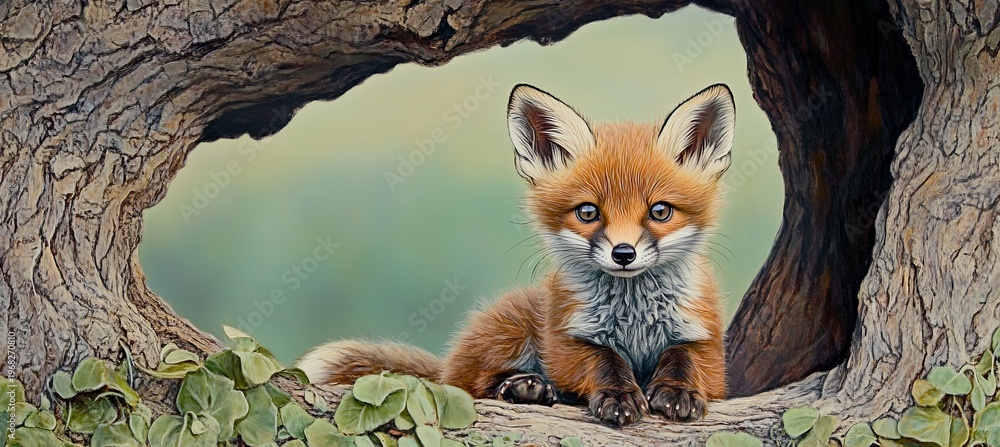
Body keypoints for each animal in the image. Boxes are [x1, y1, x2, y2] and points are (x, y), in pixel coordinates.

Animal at [297, 83, 735, 426]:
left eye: (660, 211)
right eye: (588, 212)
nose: (623, 254)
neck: (633, 320)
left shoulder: (708, 343)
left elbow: (685, 357)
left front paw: (677, 390)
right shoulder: (562, 339)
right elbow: (602, 359)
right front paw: (619, 395)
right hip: (509, 330)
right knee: (465, 384)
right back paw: (526, 388)